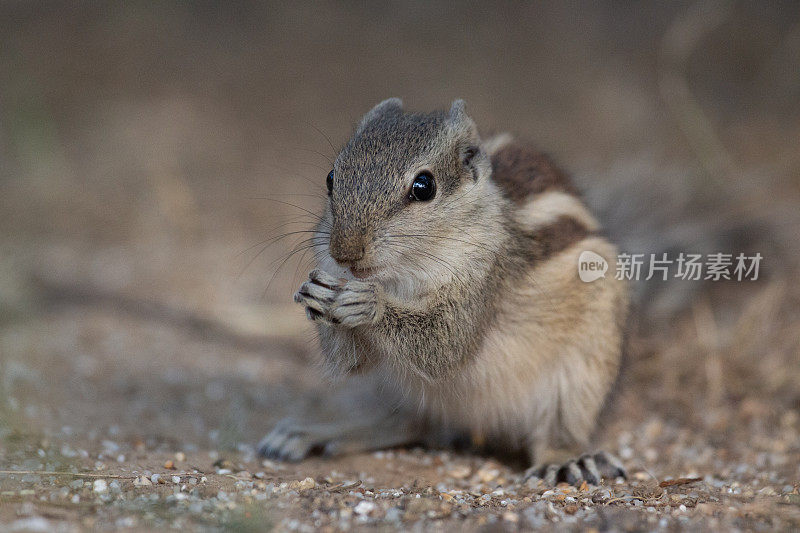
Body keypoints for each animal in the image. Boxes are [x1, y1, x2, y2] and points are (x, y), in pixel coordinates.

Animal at [260, 97, 632, 484]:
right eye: (332, 178)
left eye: (424, 186)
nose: (344, 253)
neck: (401, 276)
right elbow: (351, 362)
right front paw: (316, 294)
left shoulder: (483, 280)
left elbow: (444, 345)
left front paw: (370, 304)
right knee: (410, 422)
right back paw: (320, 432)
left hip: (584, 370)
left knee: (559, 433)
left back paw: (566, 459)